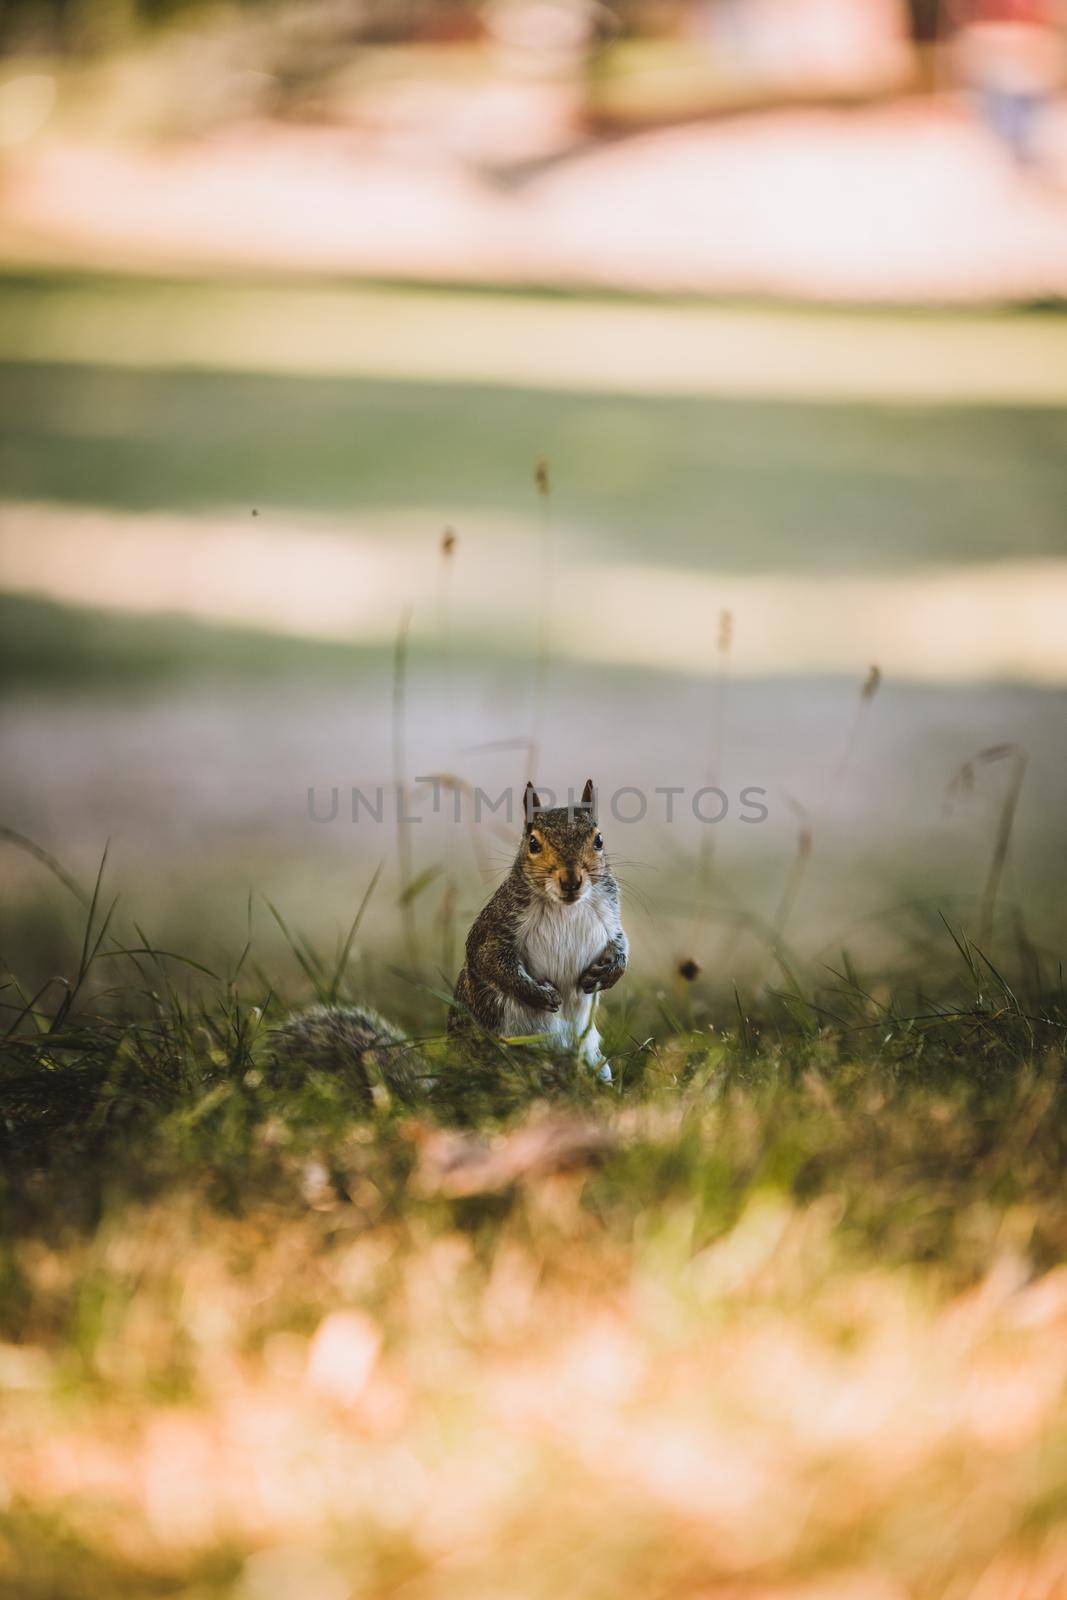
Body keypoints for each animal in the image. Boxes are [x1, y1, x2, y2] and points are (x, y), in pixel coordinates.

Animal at [271, 774, 630, 1088]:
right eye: (533, 843)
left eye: (599, 840)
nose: (571, 880)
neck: (566, 906)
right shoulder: (496, 928)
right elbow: (491, 963)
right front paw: (539, 994)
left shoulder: (609, 919)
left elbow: (621, 947)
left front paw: (607, 974)